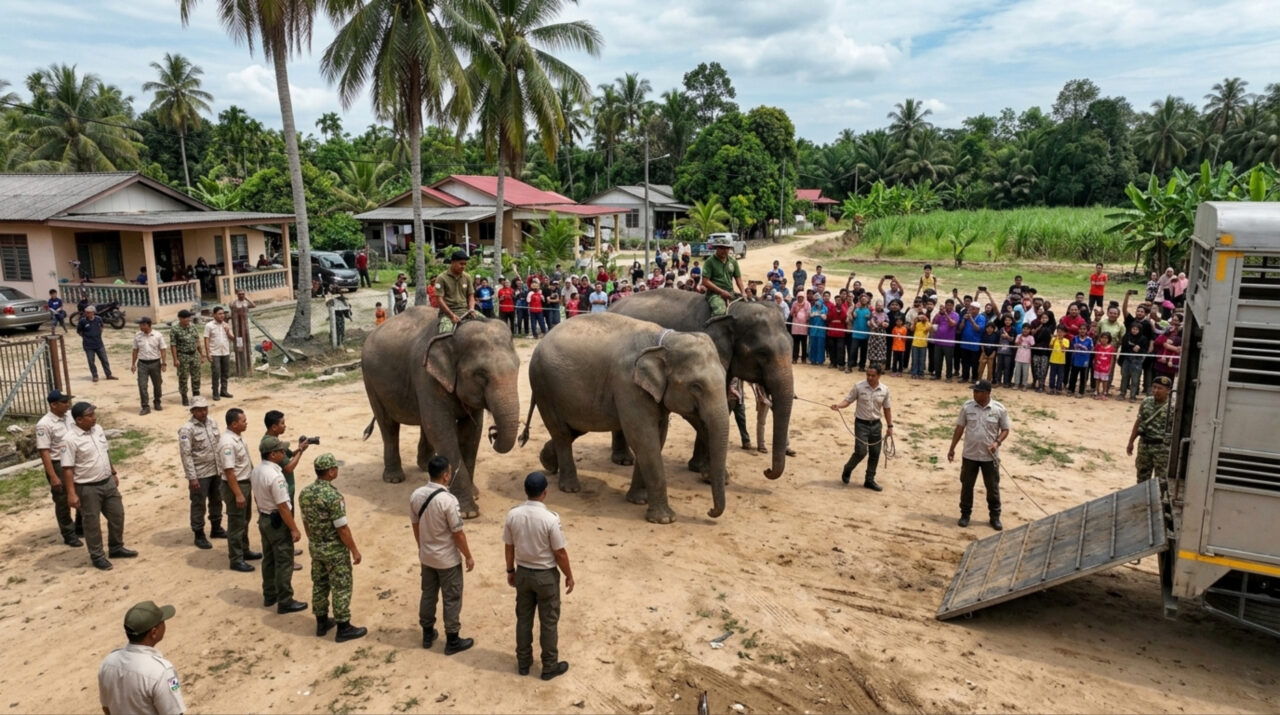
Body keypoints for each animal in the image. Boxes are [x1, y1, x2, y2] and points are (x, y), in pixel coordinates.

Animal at [361, 308, 520, 518]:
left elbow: (471, 432)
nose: (493, 433)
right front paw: (468, 512)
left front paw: (474, 494)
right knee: (388, 425)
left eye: (518, 367)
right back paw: (394, 479)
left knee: (423, 423)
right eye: (480, 374)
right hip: (370, 381)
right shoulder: (426, 375)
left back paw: (425, 466)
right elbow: (441, 429)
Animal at [520, 313, 728, 524]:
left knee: (573, 429)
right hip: (543, 387)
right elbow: (644, 439)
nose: (710, 511)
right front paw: (664, 519)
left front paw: (638, 501)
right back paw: (570, 488)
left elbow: (658, 436)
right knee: (561, 433)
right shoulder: (628, 385)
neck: (664, 341)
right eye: (696, 386)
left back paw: (547, 462)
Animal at [609, 289, 794, 481]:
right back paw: (623, 460)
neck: (735, 310)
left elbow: (721, 406)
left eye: (792, 346)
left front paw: (698, 469)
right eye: (763, 353)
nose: (766, 470)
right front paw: (713, 476)